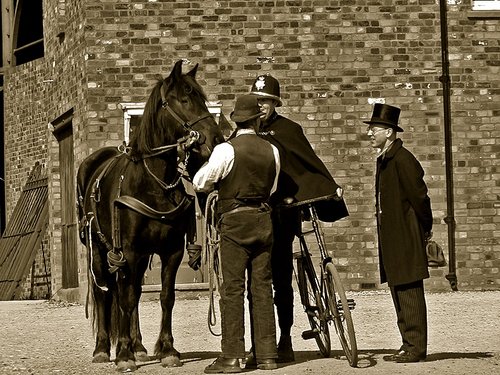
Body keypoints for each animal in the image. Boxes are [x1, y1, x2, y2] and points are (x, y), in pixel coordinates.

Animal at [77, 60, 224, 372]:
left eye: (202, 99)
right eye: (183, 99)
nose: (216, 138)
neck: (152, 183)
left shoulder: (170, 252)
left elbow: (165, 297)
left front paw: (166, 350)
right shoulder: (128, 251)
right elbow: (125, 299)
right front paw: (123, 355)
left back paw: (139, 347)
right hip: (99, 251)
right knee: (106, 292)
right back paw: (103, 349)